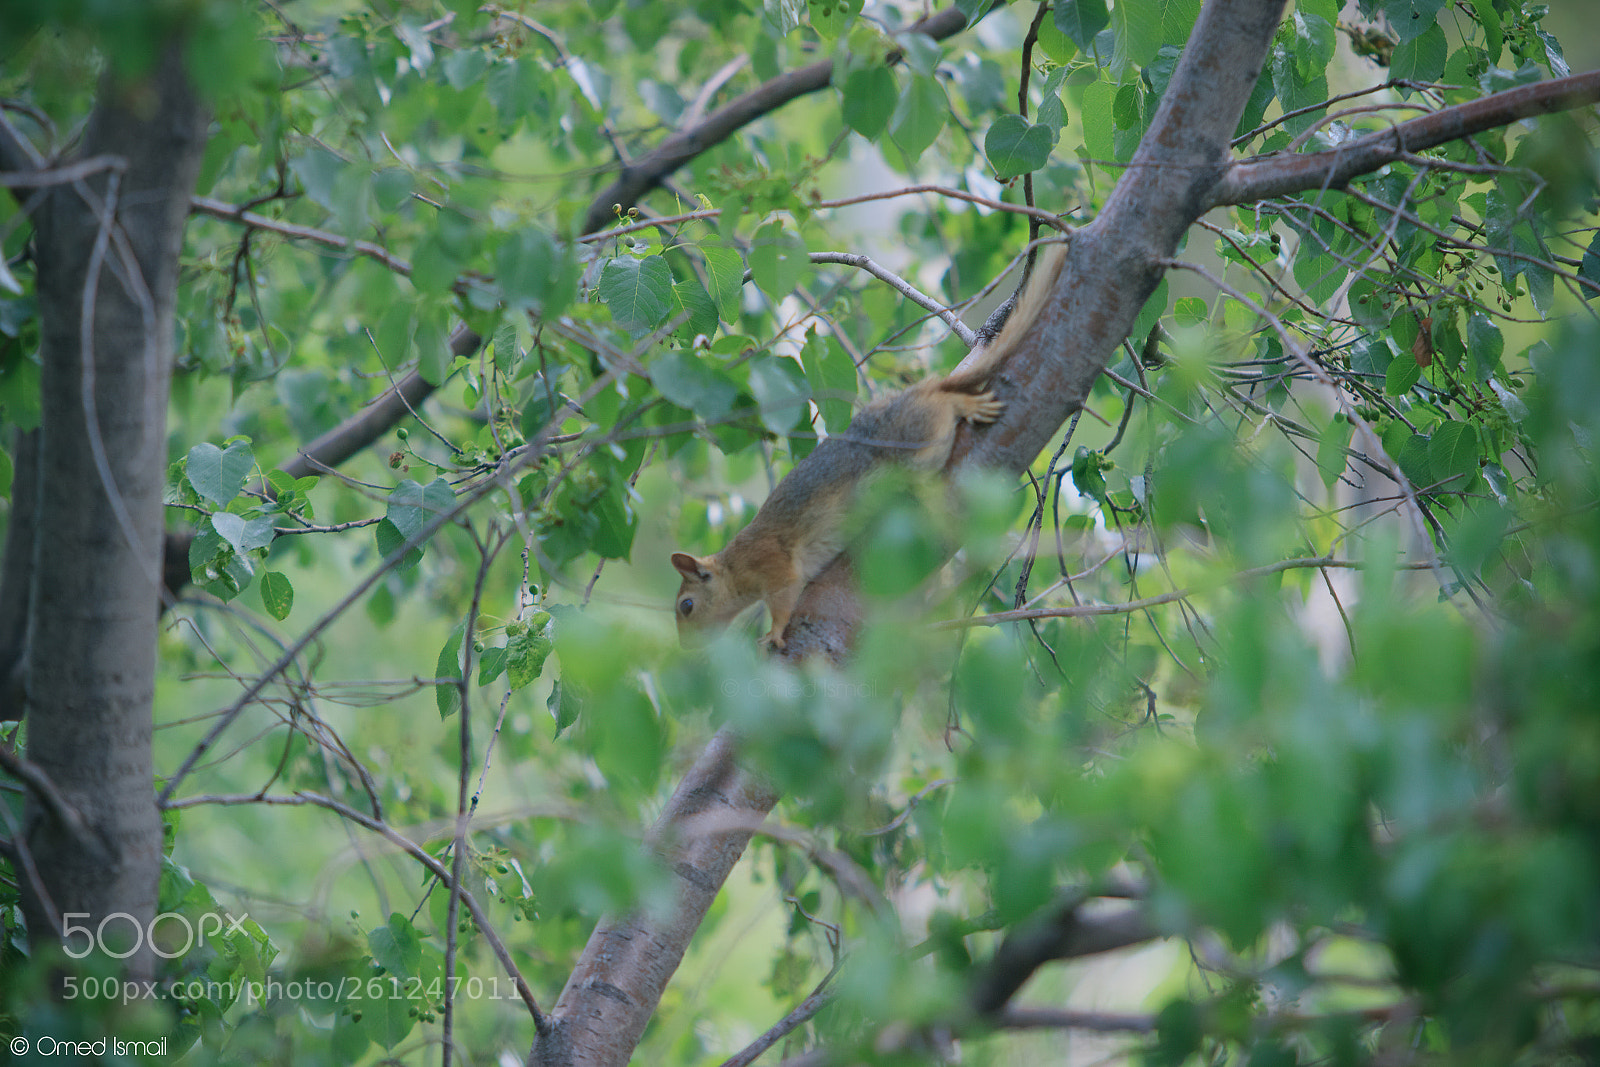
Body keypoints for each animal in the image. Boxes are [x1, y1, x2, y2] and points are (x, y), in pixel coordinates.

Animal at [671, 243, 1065, 650]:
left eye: (687, 605)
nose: (686, 648)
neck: (735, 563)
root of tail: (923, 390)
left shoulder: (771, 561)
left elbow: (782, 599)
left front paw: (773, 634)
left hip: (919, 442)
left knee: (942, 412)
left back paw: (961, 405)